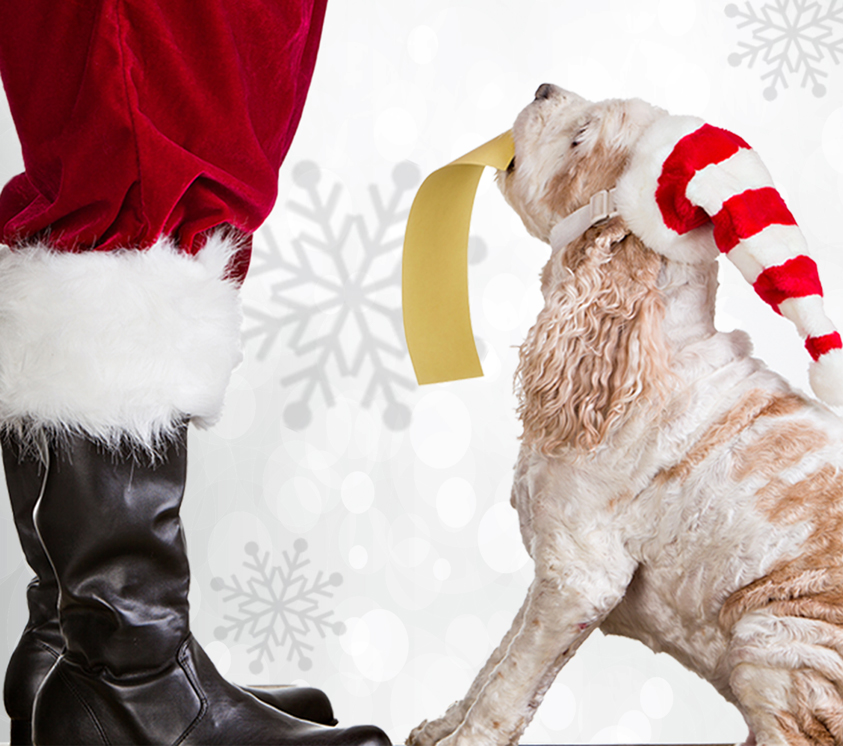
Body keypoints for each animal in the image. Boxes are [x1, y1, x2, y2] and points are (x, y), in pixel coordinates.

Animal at [408, 87, 843, 744]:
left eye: (581, 135)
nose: (542, 88)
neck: (644, 347)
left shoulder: (581, 578)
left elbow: (504, 689)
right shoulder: (554, 576)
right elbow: (502, 663)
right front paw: (440, 727)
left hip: (772, 640)